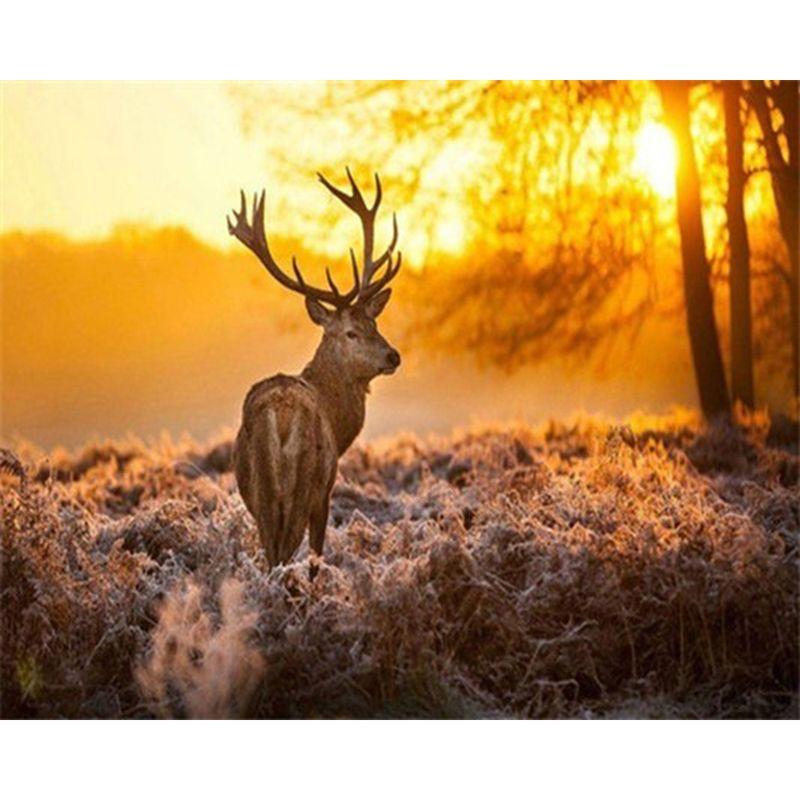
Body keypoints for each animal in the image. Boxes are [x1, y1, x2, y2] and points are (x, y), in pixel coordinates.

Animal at [226, 169, 402, 576]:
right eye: (351, 332)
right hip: (303, 485)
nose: (393, 356)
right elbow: (317, 556)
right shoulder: (326, 490)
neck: (339, 424)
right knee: (285, 557)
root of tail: (281, 416)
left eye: (375, 323)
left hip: (260, 492)